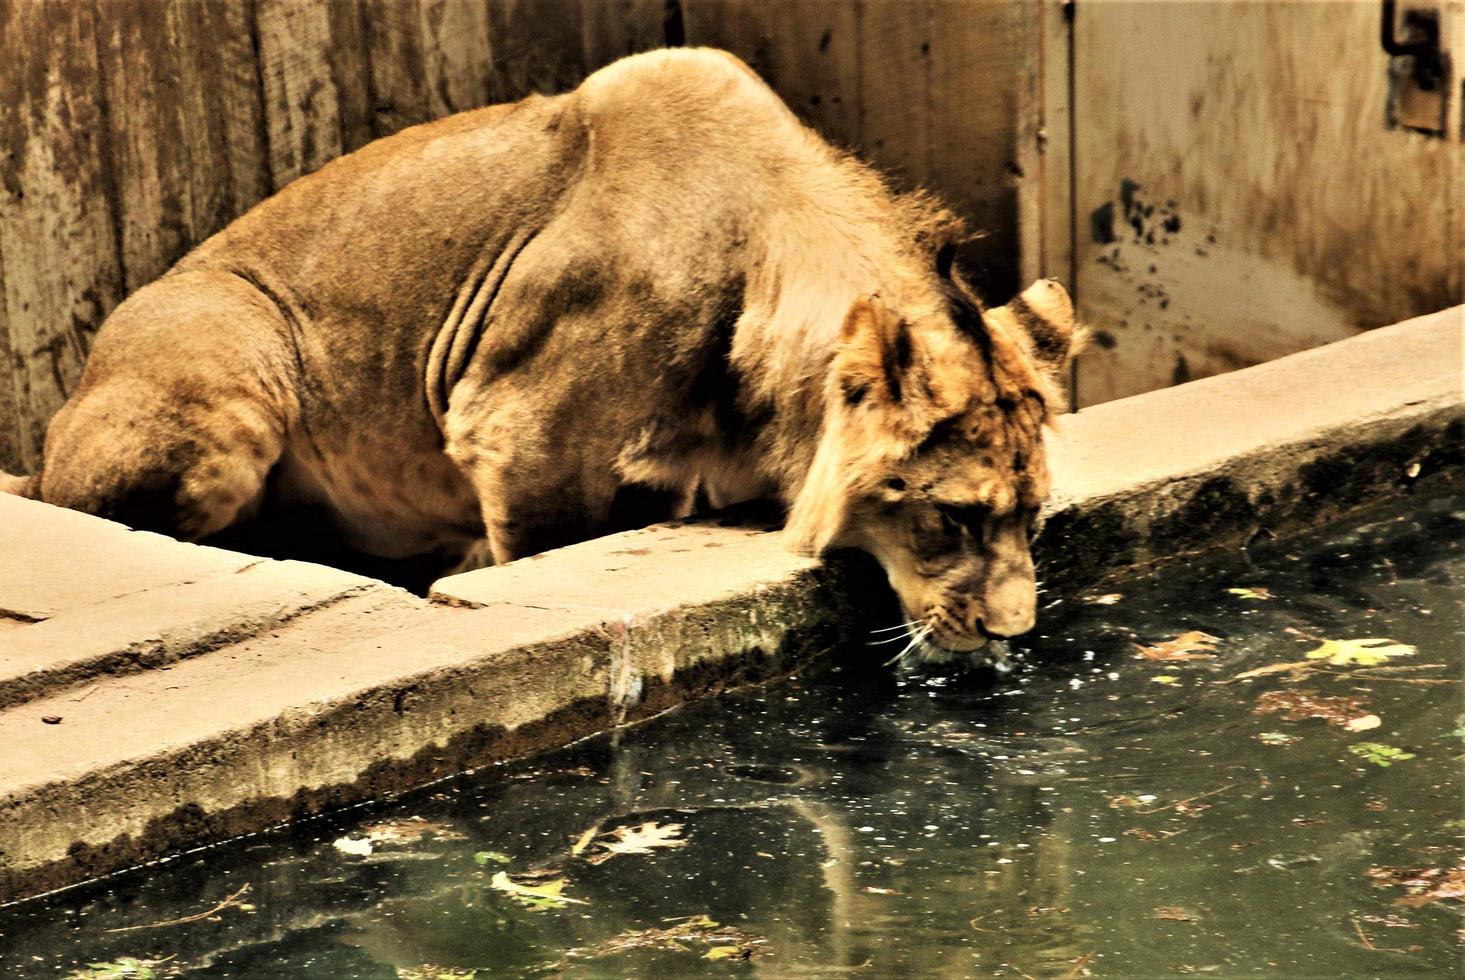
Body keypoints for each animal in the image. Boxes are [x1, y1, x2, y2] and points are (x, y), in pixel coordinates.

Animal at [0, 49, 1078, 667]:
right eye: (952, 515)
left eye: (1030, 516)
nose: (1014, 635)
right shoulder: (517, 438)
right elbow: (541, 553)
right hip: (234, 366)